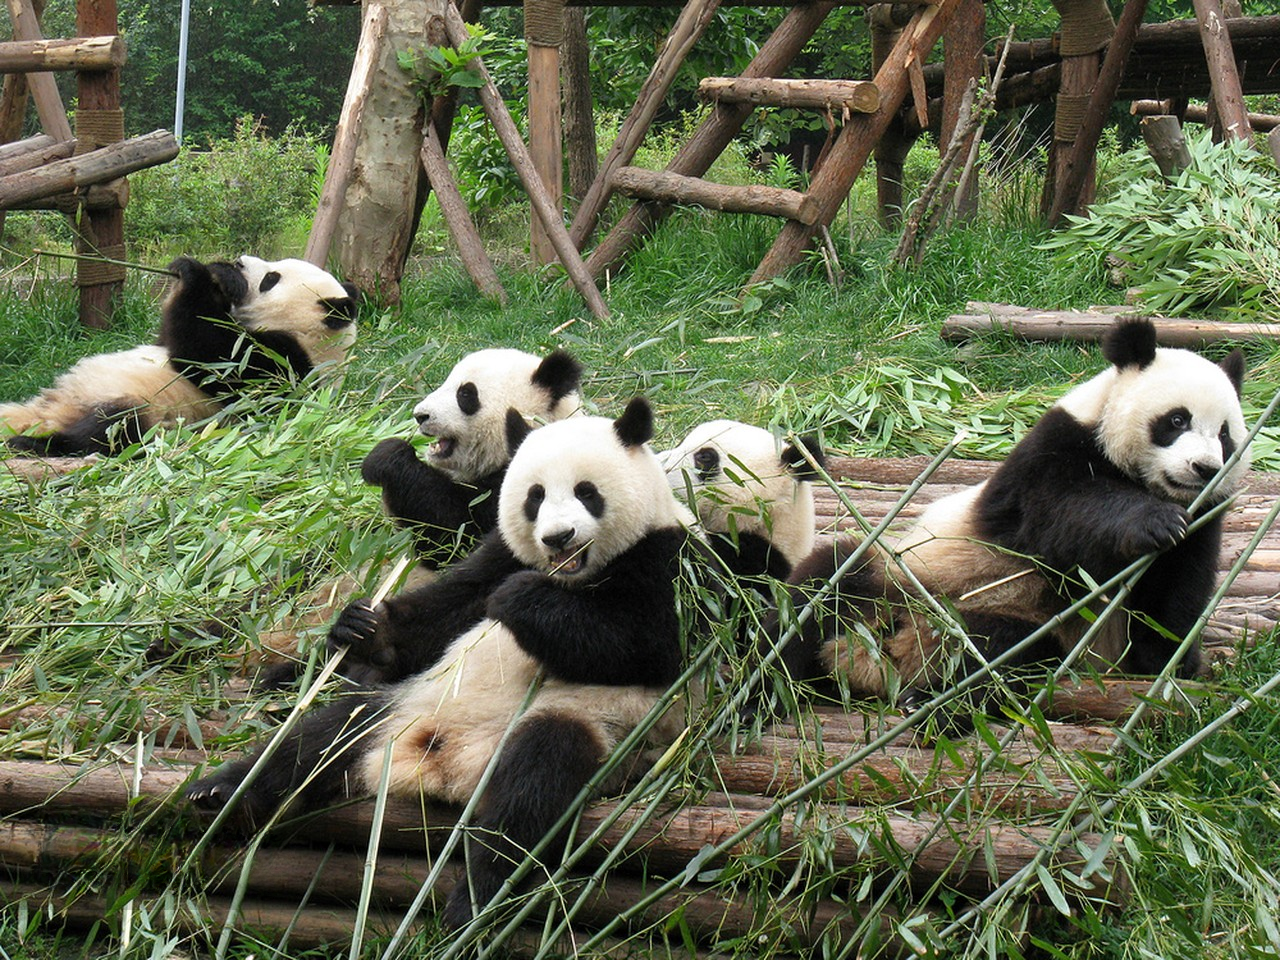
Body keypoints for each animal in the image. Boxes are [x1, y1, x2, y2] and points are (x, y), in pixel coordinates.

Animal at [2, 255, 359, 457]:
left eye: (272, 279)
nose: (240, 262)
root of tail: (53, 411)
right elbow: (171, 335)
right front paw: (218, 273)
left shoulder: (283, 368)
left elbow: (207, 357)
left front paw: (201, 274)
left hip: (143, 410)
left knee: (106, 432)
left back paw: (33, 445)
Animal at [186, 397, 696, 928]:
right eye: (534, 497)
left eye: (586, 492)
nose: (558, 538)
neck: (572, 575)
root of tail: (445, 767)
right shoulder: (499, 552)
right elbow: (448, 608)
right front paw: (364, 628)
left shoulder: (668, 562)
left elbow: (642, 646)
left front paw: (521, 599)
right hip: (403, 706)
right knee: (319, 739)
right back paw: (222, 793)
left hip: (588, 723)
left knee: (532, 789)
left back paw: (473, 902)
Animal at [359, 347, 582, 567]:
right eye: (446, 382)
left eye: (465, 393)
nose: (420, 415)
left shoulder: (517, 487)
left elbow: (454, 535)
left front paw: (385, 457)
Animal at [768, 316, 1249, 708]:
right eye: (1177, 421)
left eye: (1225, 434)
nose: (1204, 468)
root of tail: (880, 659)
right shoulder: (1047, 457)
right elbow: (1064, 516)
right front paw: (1154, 522)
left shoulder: (1206, 517)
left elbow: (1173, 600)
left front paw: (1174, 661)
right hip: (899, 576)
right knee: (821, 592)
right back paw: (768, 687)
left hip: (1031, 633)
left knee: (999, 656)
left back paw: (935, 700)